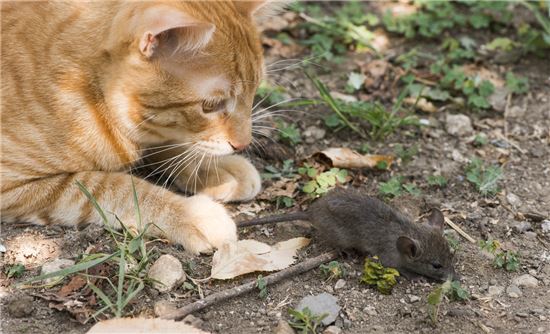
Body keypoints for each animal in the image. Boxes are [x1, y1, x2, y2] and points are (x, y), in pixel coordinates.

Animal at [0, 0, 276, 253]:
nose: (243, 143)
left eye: (254, 91)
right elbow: (114, 187)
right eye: (210, 105)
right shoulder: (13, 184)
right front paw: (191, 214)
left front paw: (213, 168)